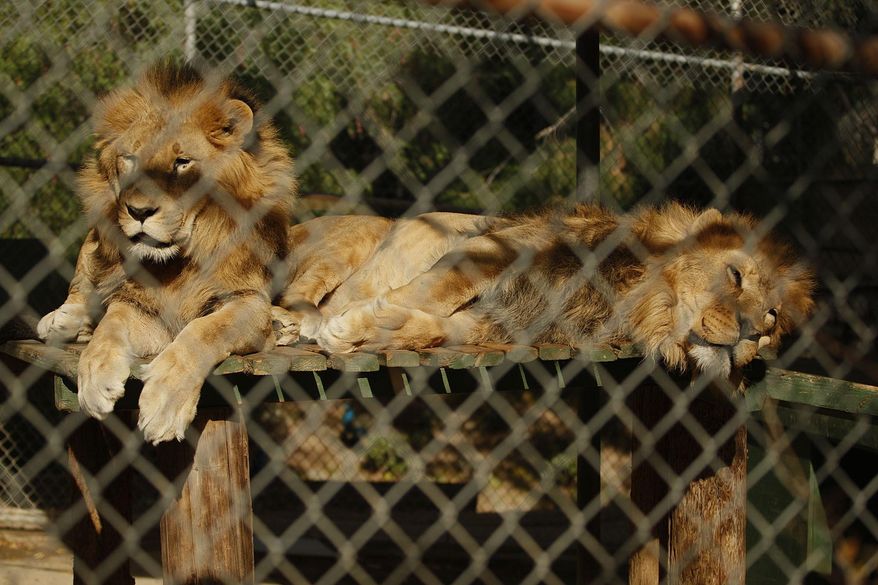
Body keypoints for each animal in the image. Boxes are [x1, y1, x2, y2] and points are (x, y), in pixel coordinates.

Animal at [38, 62, 296, 443]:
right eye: (129, 160)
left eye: (182, 162)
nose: (138, 211)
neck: (182, 261)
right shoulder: (141, 305)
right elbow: (111, 324)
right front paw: (95, 376)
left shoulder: (246, 301)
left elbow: (203, 332)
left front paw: (164, 404)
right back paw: (60, 321)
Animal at [274, 203, 814, 378]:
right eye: (736, 276)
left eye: (771, 319)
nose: (752, 330)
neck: (628, 299)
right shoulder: (498, 246)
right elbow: (433, 290)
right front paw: (343, 326)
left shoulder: (496, 322)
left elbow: (434, 328)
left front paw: (378, 325)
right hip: (348, 242)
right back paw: (289, 323)